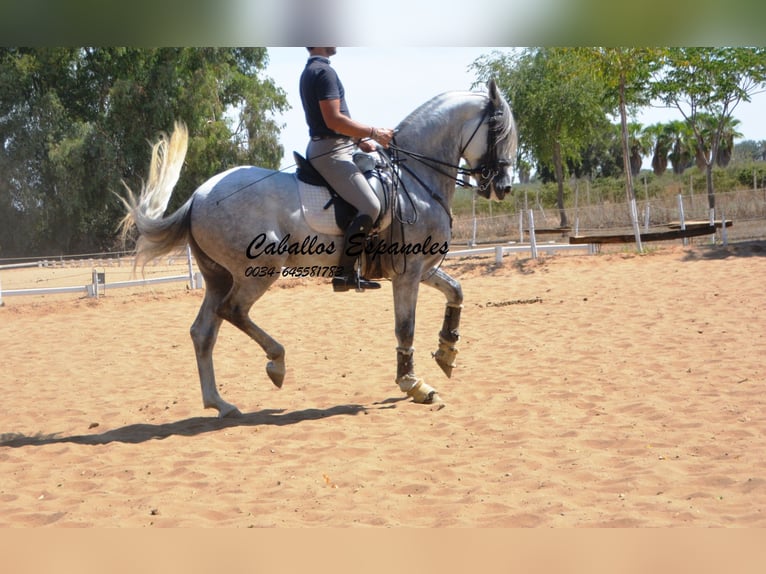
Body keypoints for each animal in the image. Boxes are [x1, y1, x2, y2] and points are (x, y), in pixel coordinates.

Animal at [121, 79, 516, 418]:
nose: (504, 187)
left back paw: (221, 404)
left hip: (219, 276)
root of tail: (199, 196)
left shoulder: (425, 268)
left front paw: (447, 352)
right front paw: (413, 383)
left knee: (204, 331)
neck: (415, 179)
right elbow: (405, 328)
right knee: (232, 311)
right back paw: (276, 363)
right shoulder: (408, 274)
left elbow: (457, 291)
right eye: (500, 132)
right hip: (258, 271)